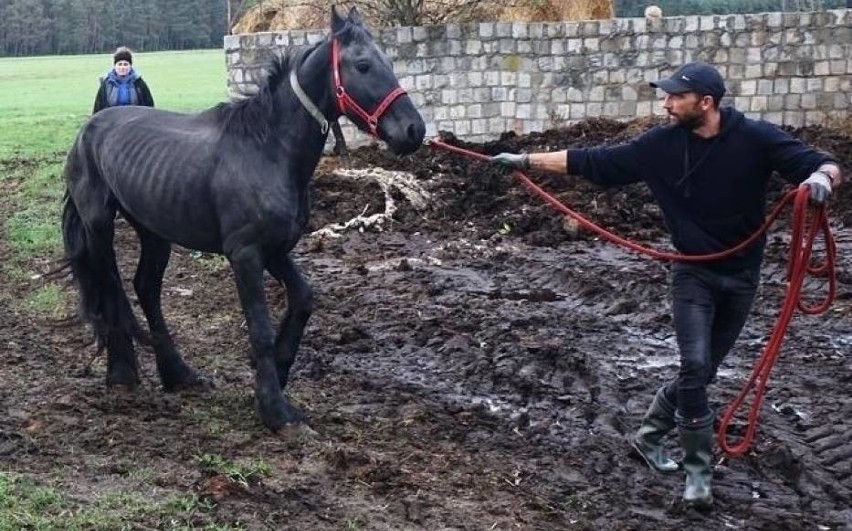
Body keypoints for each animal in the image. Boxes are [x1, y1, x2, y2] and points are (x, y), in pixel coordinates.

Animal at [60, 7, 426, 432]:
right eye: (363, 65)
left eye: (389, 61)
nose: (414, 130)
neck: (267, 150)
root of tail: (86, 131)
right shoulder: (246, 254)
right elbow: (260, 330)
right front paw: (276, 409)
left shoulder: (276, 249)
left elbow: (304, 299)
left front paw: (279, 370)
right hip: (99, 225)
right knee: (110, 287)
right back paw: (122, 373)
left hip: (153, 230)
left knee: (145, 288)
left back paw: (178, 374)